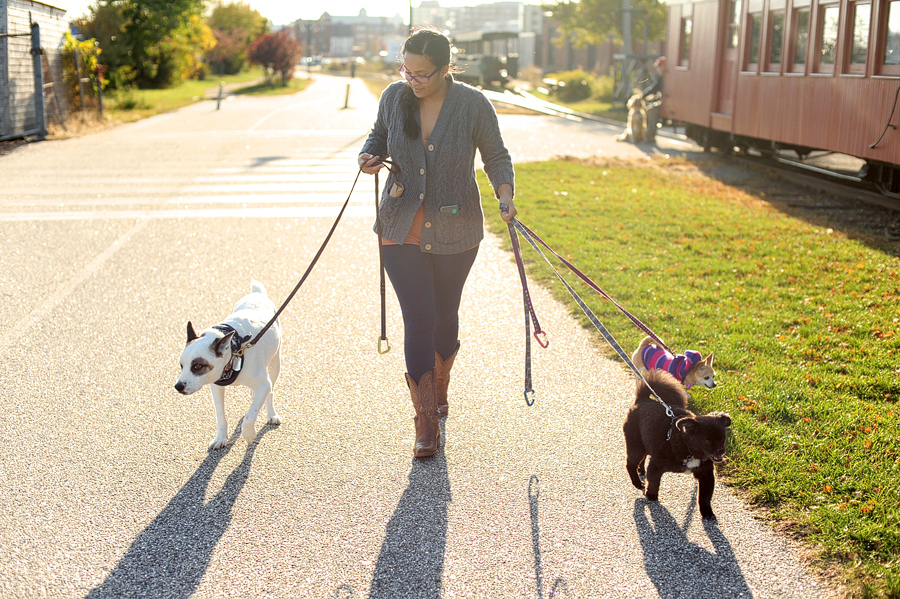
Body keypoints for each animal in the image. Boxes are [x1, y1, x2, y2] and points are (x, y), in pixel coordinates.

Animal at [175, 282, 282, 450]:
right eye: (181, 365)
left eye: (197, 366)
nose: (178, 386)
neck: (234, 350)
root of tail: (257, 294)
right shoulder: (216, 386)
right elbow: (220, 415)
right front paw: (220, 438)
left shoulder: (264, 384)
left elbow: (250, 415)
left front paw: (249, 433)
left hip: (275, 364)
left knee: (270, 392)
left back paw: (271, 414)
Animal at [624, 370, 732, 520]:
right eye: (707, 441)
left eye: (722, 438)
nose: (720, 450)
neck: (689, 448)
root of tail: (642, 400)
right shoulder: (656, 465)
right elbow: (654, 483)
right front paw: (651, 496)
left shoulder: (706, 475)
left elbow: (705, 497)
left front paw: (707, 512)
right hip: (636, 445)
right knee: (630, 464)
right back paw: (637, 482)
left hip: (644, 443)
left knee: (642, 458)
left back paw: (641, 470)